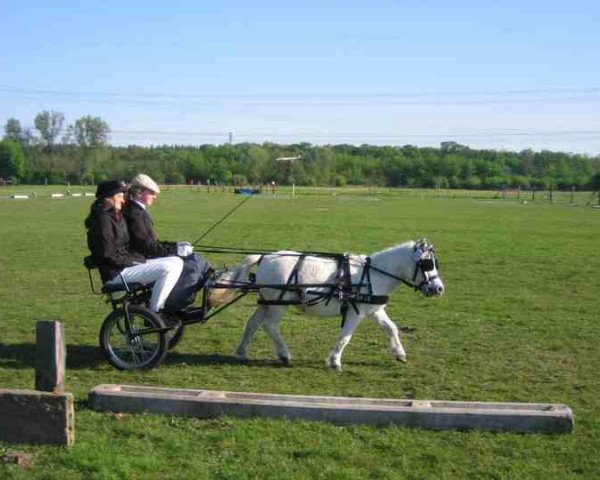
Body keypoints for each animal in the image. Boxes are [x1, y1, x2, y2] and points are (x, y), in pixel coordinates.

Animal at [209, 240, 442, 372]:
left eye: (433, 263)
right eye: (427, 264)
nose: (439, 288)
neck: (373, 275)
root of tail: (265, 257)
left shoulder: (374, 309)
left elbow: (390, 328)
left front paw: (399, 354)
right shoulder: (356, 312)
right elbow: (345, 337)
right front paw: (335, 361)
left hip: (267, 301)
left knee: (253, 323)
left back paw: (242, 352)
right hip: (278, 304)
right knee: (270, 325)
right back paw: (283, 354)